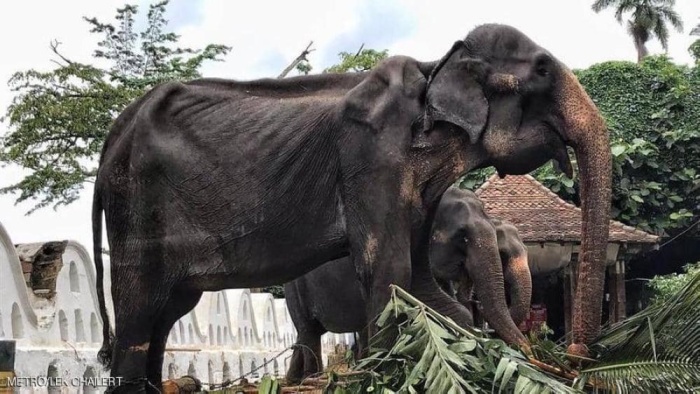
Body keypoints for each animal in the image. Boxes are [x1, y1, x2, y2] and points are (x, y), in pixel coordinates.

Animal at [284, 186, 532, 384]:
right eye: (463, 236)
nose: (532, 355)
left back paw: (295, 379)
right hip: (295, 289)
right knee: (309, 331)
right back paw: (312, 379)